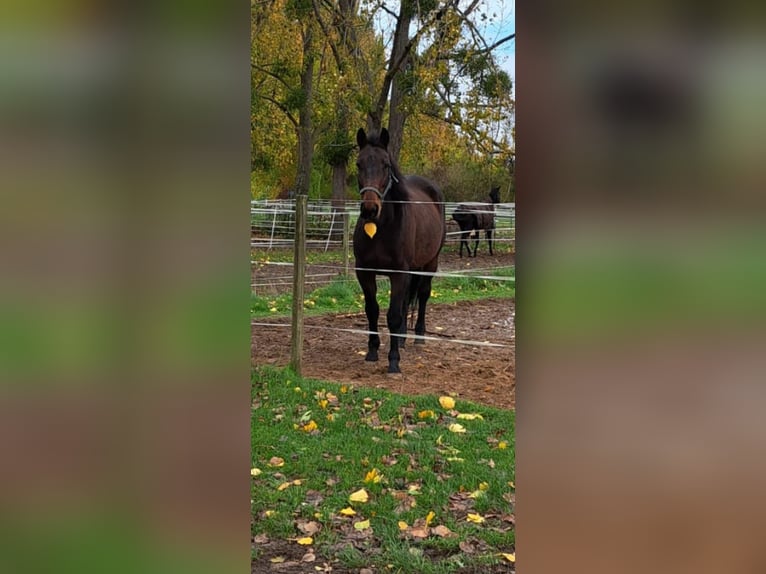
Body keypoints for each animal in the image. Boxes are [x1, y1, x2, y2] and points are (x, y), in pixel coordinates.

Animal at [353, 127, 446, 374]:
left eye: (386, 165)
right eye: (358, 163)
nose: (369, 209)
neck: (380, 229)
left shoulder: (398, 273)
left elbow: (393, 315)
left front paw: (393, 361)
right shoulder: (364, 272)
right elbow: (372, 310)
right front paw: (372, 351)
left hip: (429, 264)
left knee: (422, 295)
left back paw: (418, 336)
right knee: (406, 301)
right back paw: (403, 337)